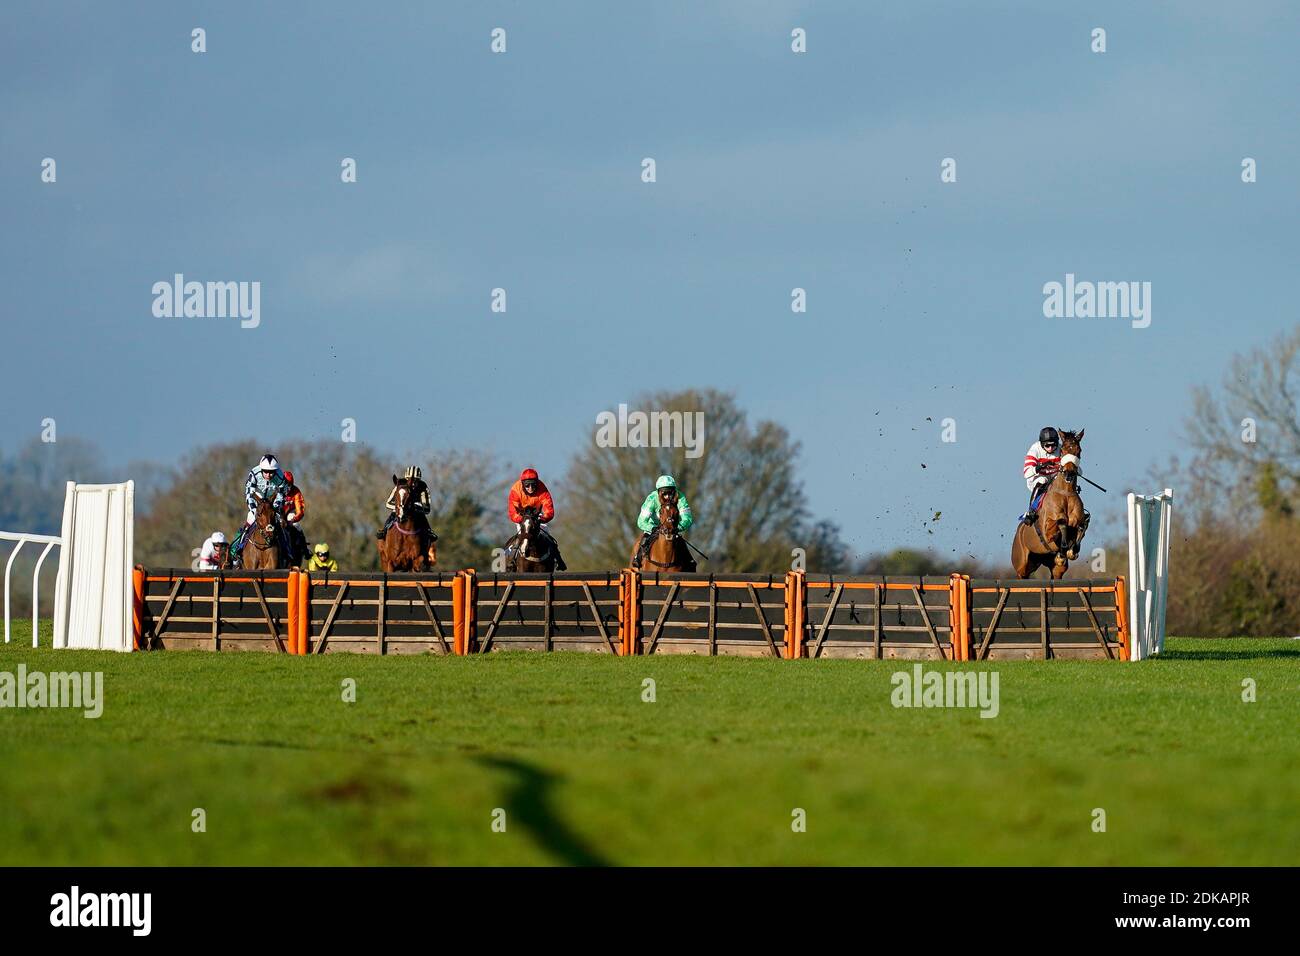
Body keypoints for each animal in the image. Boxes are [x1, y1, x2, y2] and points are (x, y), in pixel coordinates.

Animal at [1013, 429, 1086, 580]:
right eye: (1063, 450)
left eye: (1079, 450)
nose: (1069, 474)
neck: (1065, 493)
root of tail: (1019, 530)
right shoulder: (1048, 531)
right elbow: (1061, 523)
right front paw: (1064, 549)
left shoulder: (1078, 522)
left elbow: (1082, 526)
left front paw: (1071, 551)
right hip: (1021, 567)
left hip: (1054, 569)